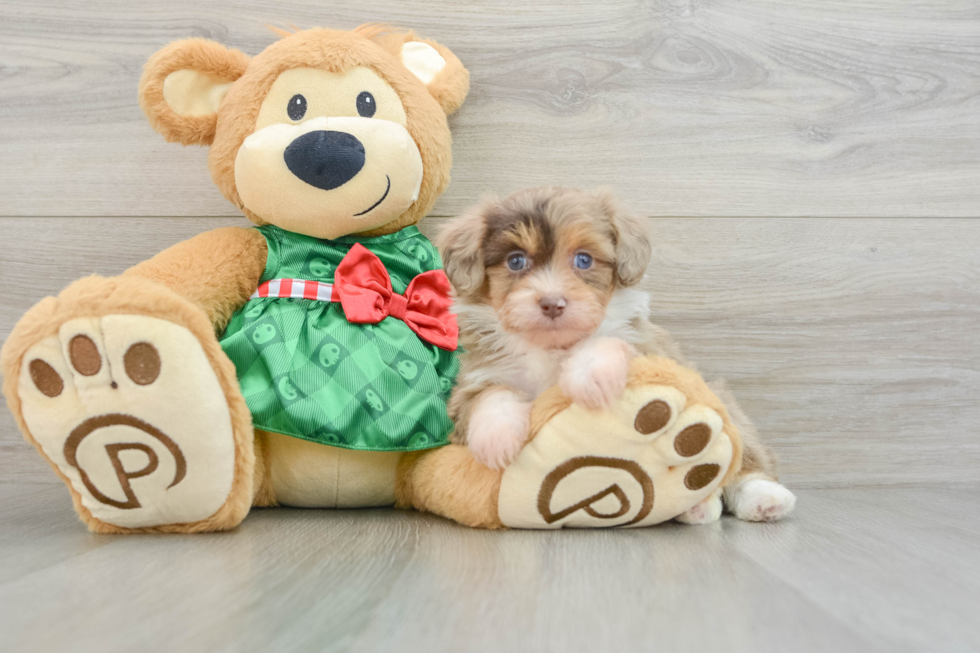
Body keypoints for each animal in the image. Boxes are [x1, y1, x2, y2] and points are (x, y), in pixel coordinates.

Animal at [438, 186, 796, 524]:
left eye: (584, 259)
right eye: (516, 261)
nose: (552, 303)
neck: (553, 349)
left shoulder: (647, 351)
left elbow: (604, 342)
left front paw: (590, 379)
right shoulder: (475, 380)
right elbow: (490, 396)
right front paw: (496, 438)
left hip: (720, 402)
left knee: (744, 459)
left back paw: (761, 498)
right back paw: (697, 506)